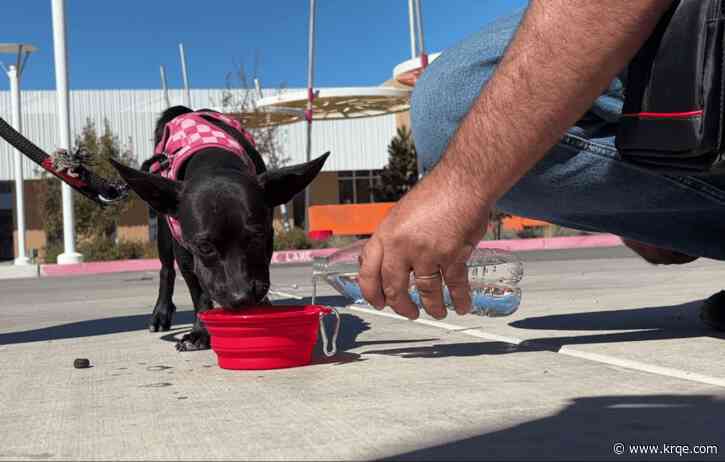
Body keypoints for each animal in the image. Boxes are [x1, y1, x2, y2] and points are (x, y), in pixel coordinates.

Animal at [111, 105, 328, 350]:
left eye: (258, 237)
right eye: (204, 247)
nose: (242, 297)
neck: (215, 162)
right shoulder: (186, 256)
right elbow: (199, 294)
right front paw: (200, 331)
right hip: (164, 235)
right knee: (166, 271)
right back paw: (161, 312)